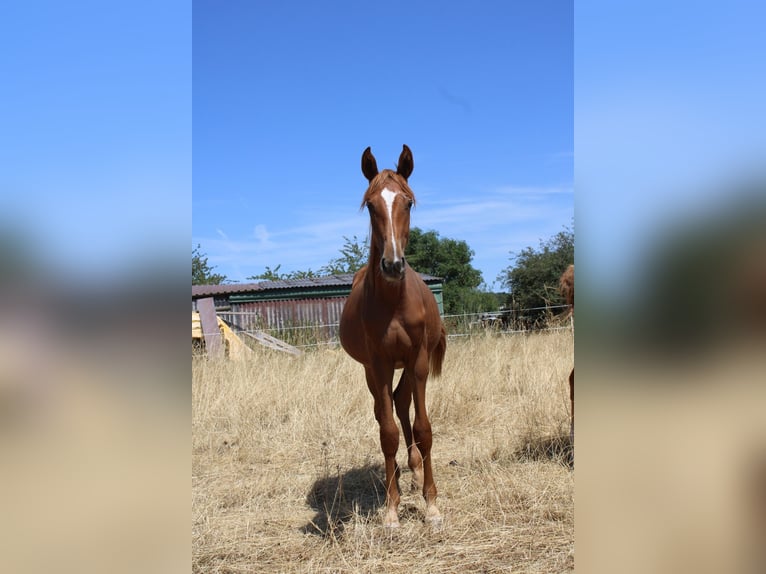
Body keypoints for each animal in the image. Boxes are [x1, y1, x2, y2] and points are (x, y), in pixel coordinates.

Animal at [339, 144, 447, 528]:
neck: (394, 302)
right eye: (371, 205)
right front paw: (390, 508)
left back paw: (414, 471)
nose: (392, 265)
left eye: (408, 202)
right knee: (386, 409)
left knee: (403, 403)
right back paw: (400, 475)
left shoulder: (418, 360)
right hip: (372, 372)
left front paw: (432, 505)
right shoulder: (379, 363)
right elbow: (387, 433)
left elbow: (424, 428)